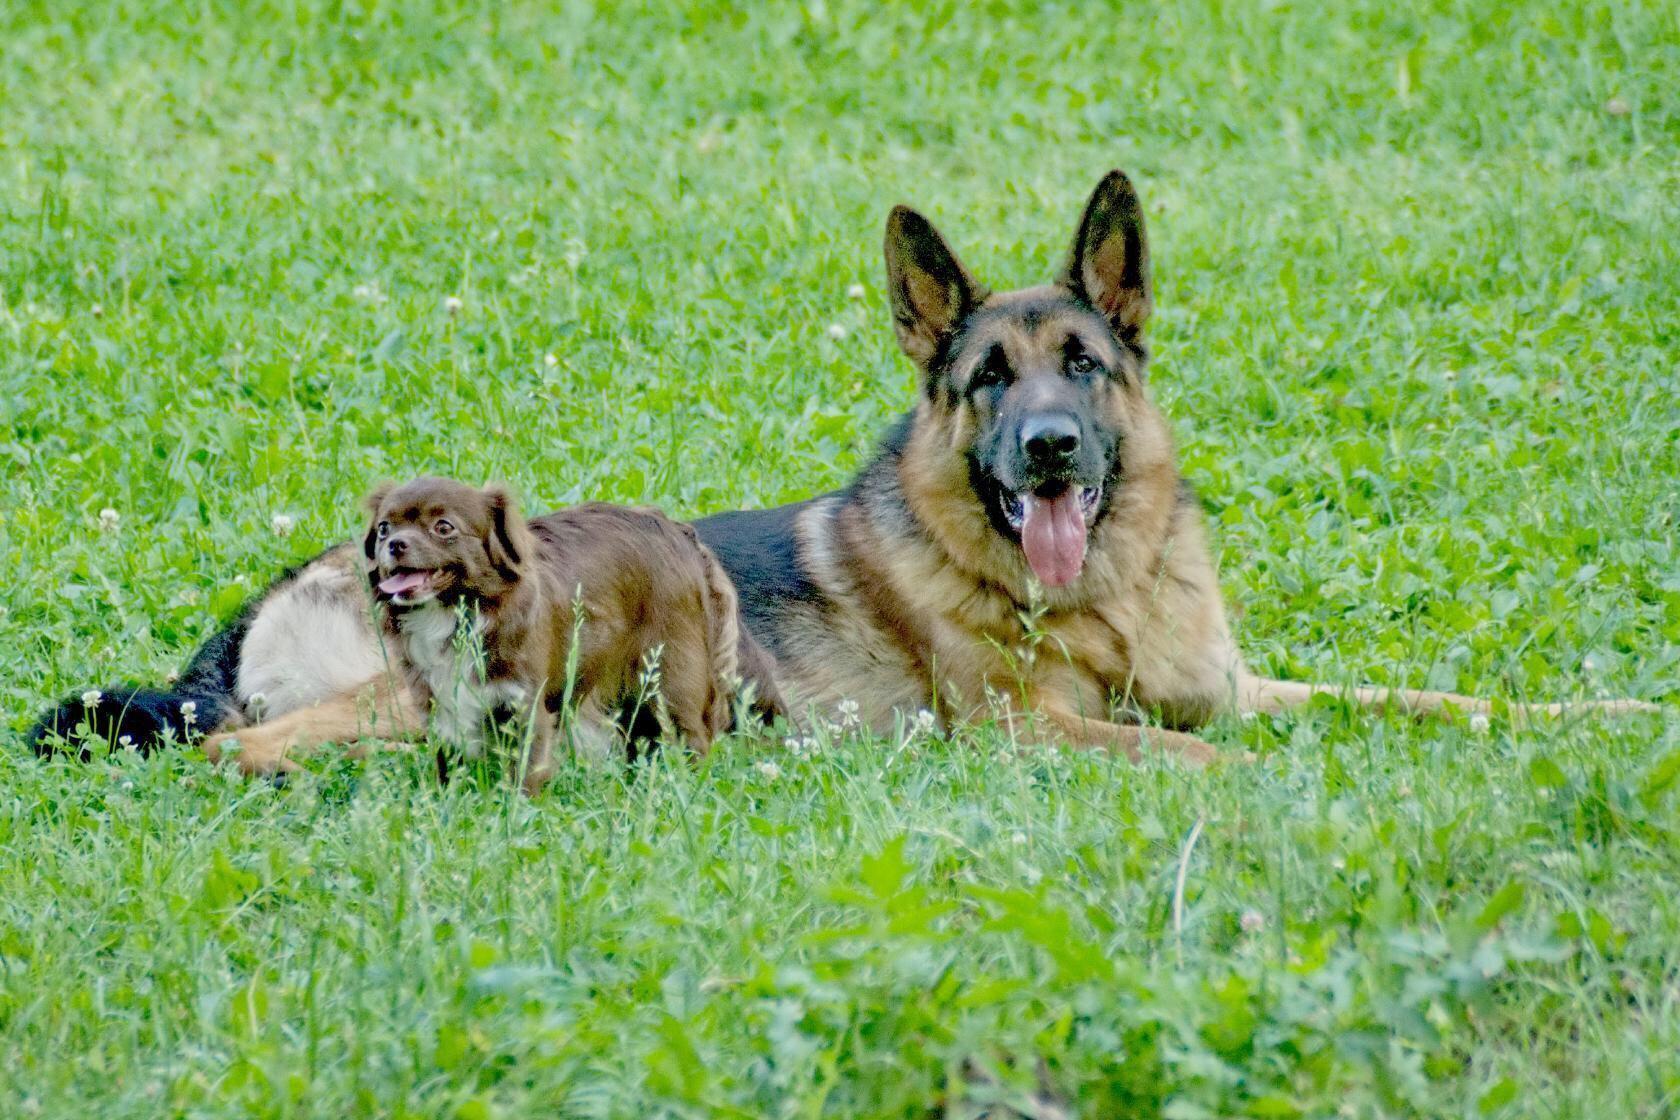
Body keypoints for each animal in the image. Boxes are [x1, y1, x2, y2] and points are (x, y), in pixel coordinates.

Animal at [361, 476, 779, 792]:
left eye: (443, 528)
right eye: (383, 528)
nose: (394, 544)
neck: (461, 612)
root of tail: (679, 531)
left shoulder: (525, 707)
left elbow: (525, 775)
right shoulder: (442, 707)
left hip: (668, 681)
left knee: (692, 740)